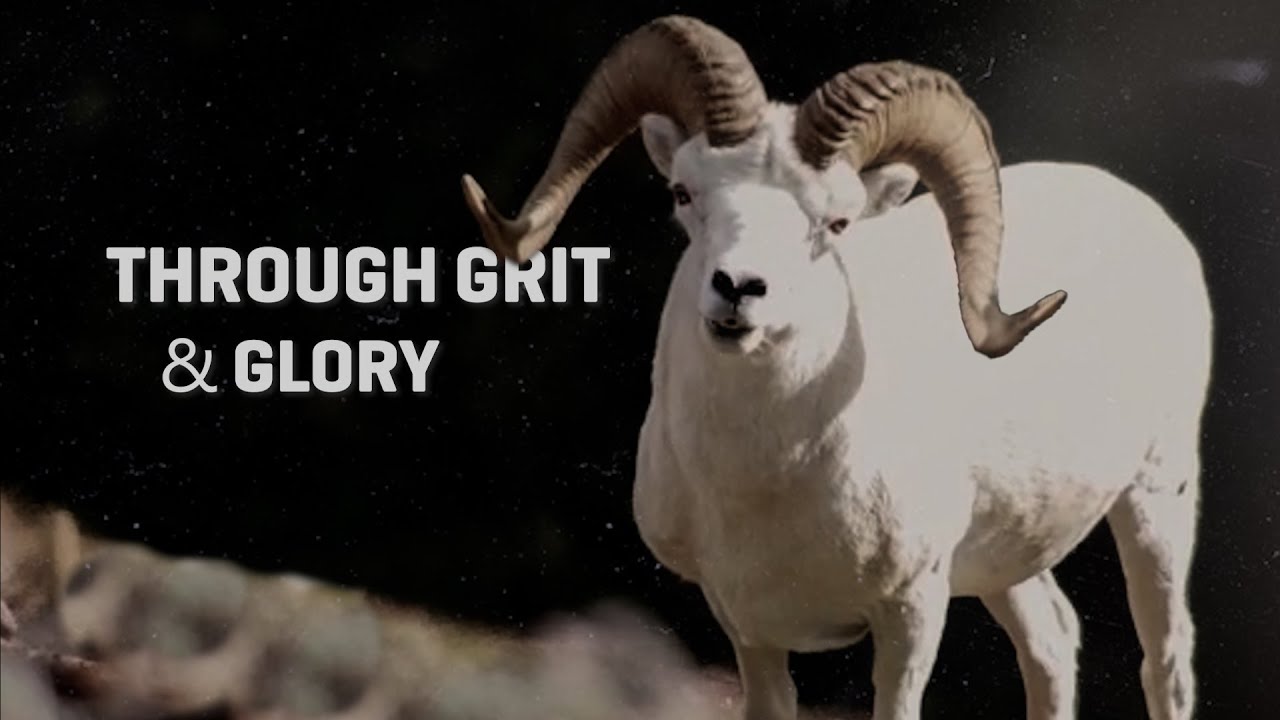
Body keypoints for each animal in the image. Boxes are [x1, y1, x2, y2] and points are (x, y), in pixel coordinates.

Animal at [460, 15, 1210, 720]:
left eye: (838, 223)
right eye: (683, 193)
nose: (738, 289)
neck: (769, 479)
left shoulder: (910, 614)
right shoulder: (750, 632)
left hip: (1156, 502)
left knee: (1166, 663)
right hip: (1008, 560)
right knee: (1052, 643)